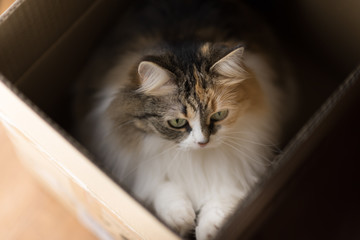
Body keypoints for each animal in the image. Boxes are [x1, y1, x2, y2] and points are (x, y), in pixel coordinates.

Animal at [73, 0, 296, 239]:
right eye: (177, 123)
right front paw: (180, 221)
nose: (203, 142)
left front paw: (207, 231)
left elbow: (220, 207)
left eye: (219, 115)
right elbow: (165, 190)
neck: (197, 159)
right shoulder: (145, 171)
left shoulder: (235, 176)